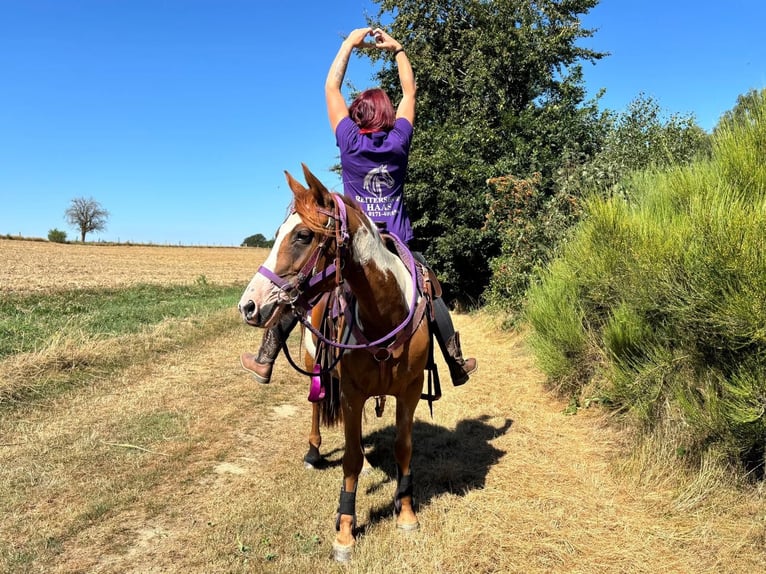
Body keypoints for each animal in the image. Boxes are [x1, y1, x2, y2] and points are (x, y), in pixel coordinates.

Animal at [238, 164, 432, 561]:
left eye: (303, 235)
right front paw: (345, 530)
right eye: (276, 235)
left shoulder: (410, 390)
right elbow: (351, 459)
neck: (384, 317)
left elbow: (403, 447)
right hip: (315, 364)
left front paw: (406, 512)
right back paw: (313, 452)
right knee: (315, 407)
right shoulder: (352, 393)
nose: (248, 305)